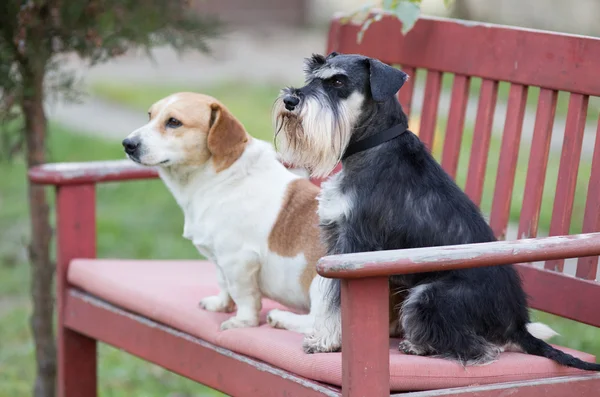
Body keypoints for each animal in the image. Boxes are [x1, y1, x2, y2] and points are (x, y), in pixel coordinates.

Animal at [122, 93, 328, 332]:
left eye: (173, 122)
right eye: (150, 115)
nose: (127, 144)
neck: (220, 178)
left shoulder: (238, 260)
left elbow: (244, 295)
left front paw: (243, 321)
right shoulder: (220, 260)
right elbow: (223, 283)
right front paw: (221, 305)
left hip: (320, 284)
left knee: (319, 325)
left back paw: (281, 317)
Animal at [274, 51, 600, 370]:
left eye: (339, 81)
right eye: (312, 76)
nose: (290, 100)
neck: (374, 147)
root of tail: (518, 325)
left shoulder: (354, 244)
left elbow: (335, 301)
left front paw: (324, 341)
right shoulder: (335, 239)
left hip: (428, 295)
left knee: (480, 349)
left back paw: (421, 345)